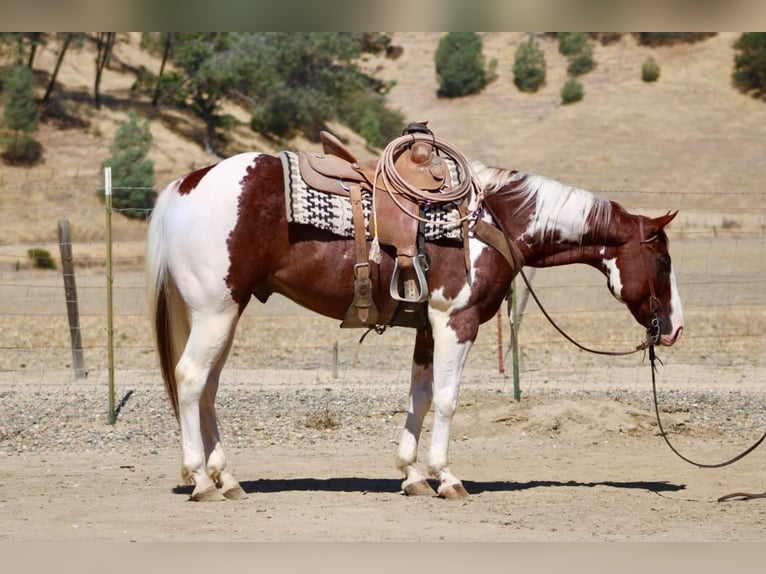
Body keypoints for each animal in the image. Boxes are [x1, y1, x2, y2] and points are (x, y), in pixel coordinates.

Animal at [146, 152, 684, 501]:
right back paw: (201, 480)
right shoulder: (456, 321)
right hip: (214, 311)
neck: (493, 221)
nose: (675, 328)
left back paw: (227, 478)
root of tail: (186, 185)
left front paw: (412, 475)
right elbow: (446, 400)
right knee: (191, 379)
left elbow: (419, 397)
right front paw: (447, 477)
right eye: (662, 259)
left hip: (223, 314)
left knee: (208, 388)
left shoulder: (428, 326)